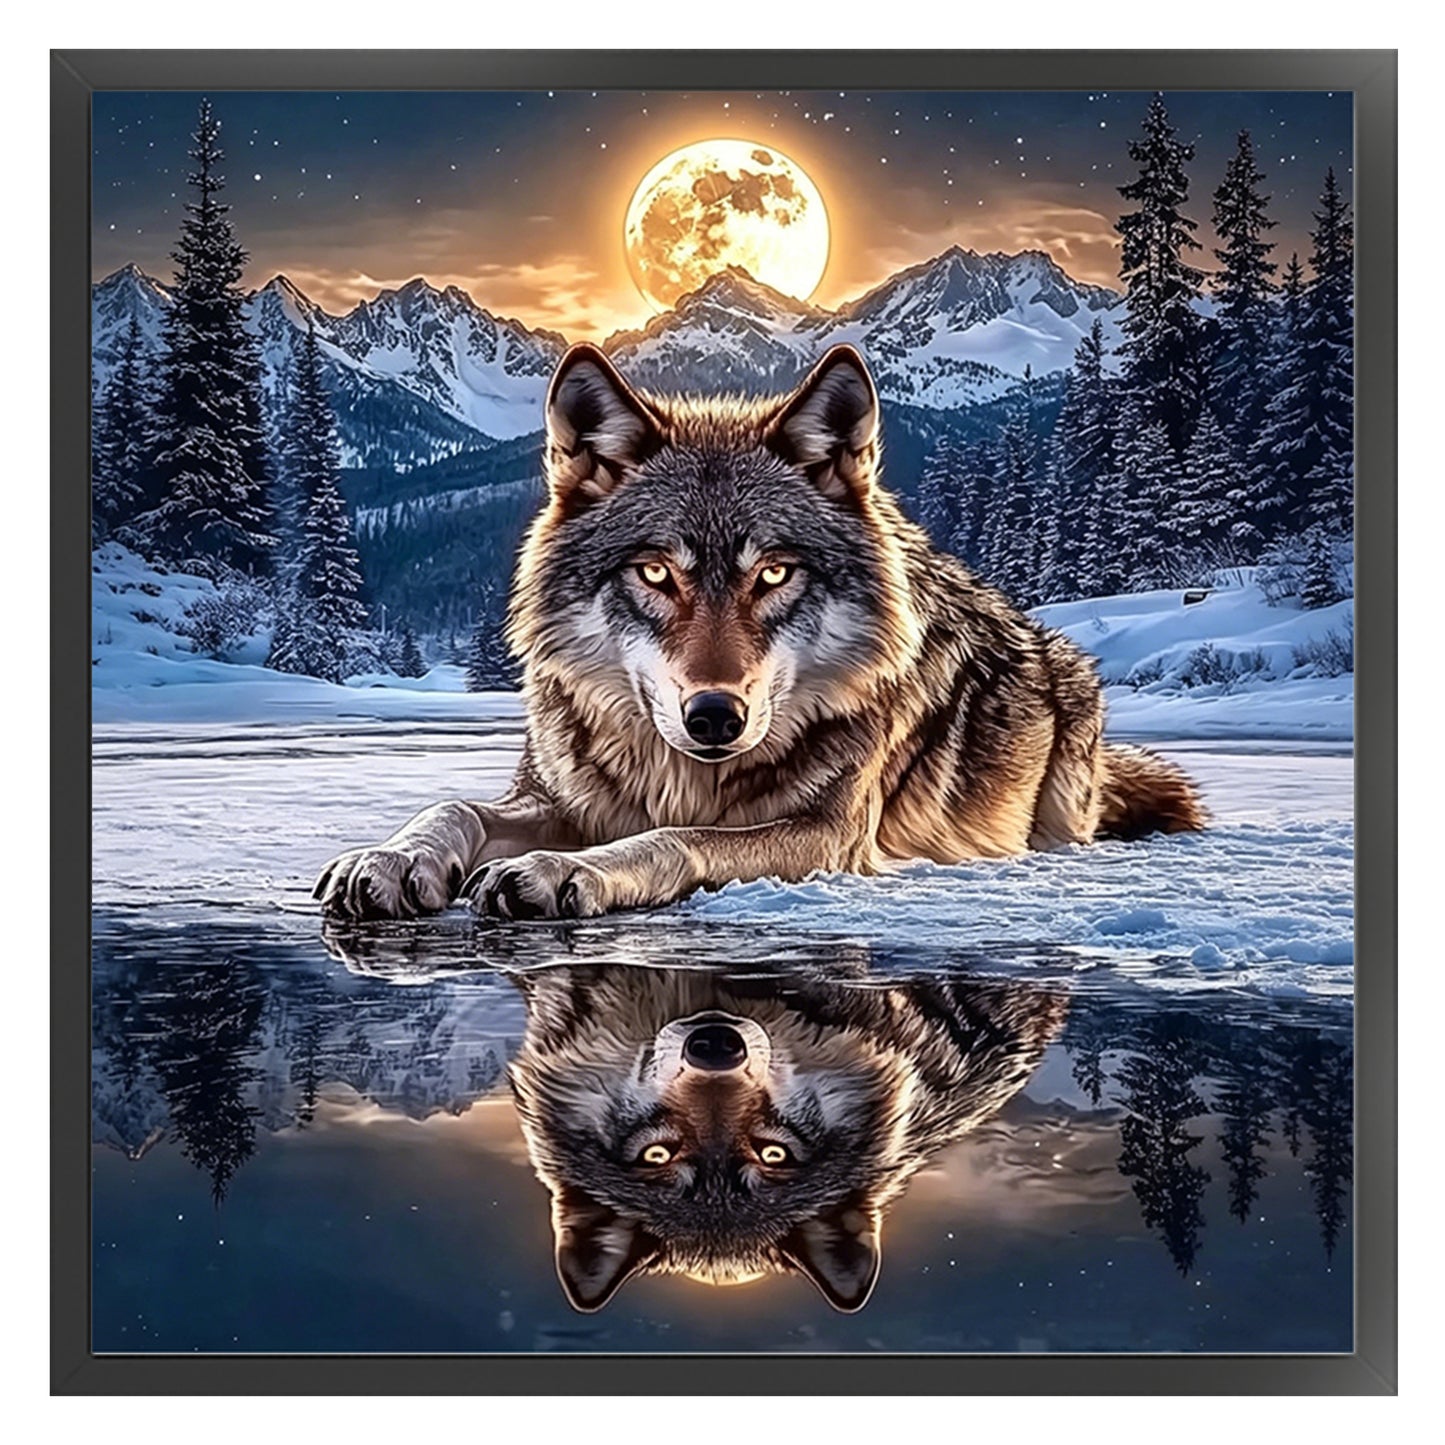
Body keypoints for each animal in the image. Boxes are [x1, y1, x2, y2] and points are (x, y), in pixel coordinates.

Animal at [315, 341, 1204, 921]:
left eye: (772, 574)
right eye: (655, 573)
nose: (715, 715)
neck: (677, 771)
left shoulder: (827, 836)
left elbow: (675, 836)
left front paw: (562, 869)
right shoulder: (554, 794)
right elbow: (452, 805)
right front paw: (387, 858)